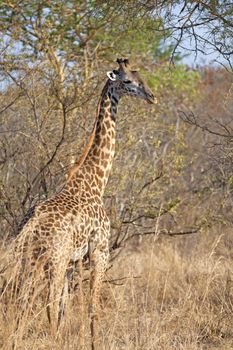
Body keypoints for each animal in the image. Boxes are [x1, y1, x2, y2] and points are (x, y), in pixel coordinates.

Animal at [8, 58, 156, 348]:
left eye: (140, 76)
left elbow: (66, 308)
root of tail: (29, 225)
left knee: (24, 298)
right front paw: (94, 344)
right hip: (53, 259)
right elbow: (91, 307)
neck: (96, 181)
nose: (152, 97)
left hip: (31, 260)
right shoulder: (99, 250)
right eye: (128, 81)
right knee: (46, 301)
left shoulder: (73, 261)